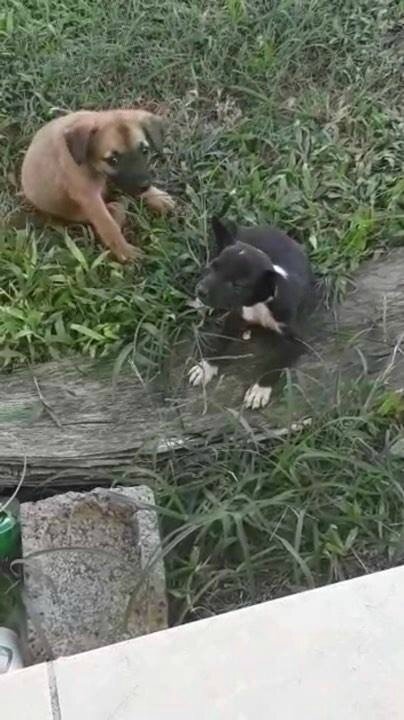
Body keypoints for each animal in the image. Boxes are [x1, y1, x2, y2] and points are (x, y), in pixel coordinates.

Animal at [20, 109, 175, 262]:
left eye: (145, 151)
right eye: (112, 160)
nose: (144, 185)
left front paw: (156, 196)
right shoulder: (89, 197)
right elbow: (108, 225)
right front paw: (124, 250)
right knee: (116, 209)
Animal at [189, 215, 312, 410]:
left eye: (238, 285)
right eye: (213, 267)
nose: (201, 291)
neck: (260, 303)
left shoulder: (297, 341)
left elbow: (275, 363)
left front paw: (259, 389)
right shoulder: (234, 318)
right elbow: (219, 342)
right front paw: (205, 367)